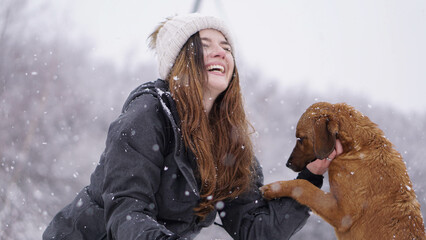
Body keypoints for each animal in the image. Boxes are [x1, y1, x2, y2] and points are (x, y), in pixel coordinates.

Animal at [262, 102, 424, 239]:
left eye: (300, 139)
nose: (287, 164)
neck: (356, 150)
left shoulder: (342, 215)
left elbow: (303, 186)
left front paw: (272, 188)